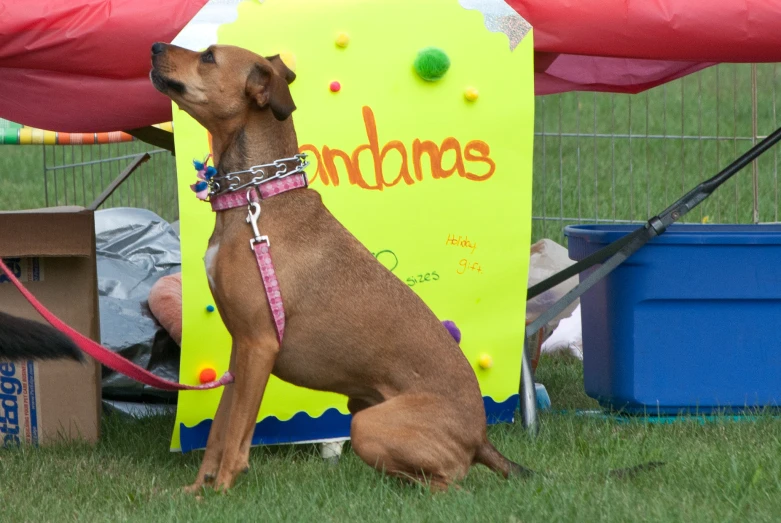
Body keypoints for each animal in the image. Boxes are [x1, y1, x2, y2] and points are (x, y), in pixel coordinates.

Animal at [150, 43, 532, 494]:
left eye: (208, 56)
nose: (155, 47)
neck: (255, 199)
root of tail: (481, 438)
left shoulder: (259, 346)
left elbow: (236, 437)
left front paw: (223, 490)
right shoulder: (239, 349)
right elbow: (218, 431)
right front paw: (198, 491)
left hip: (368, 426)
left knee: (451, 485)